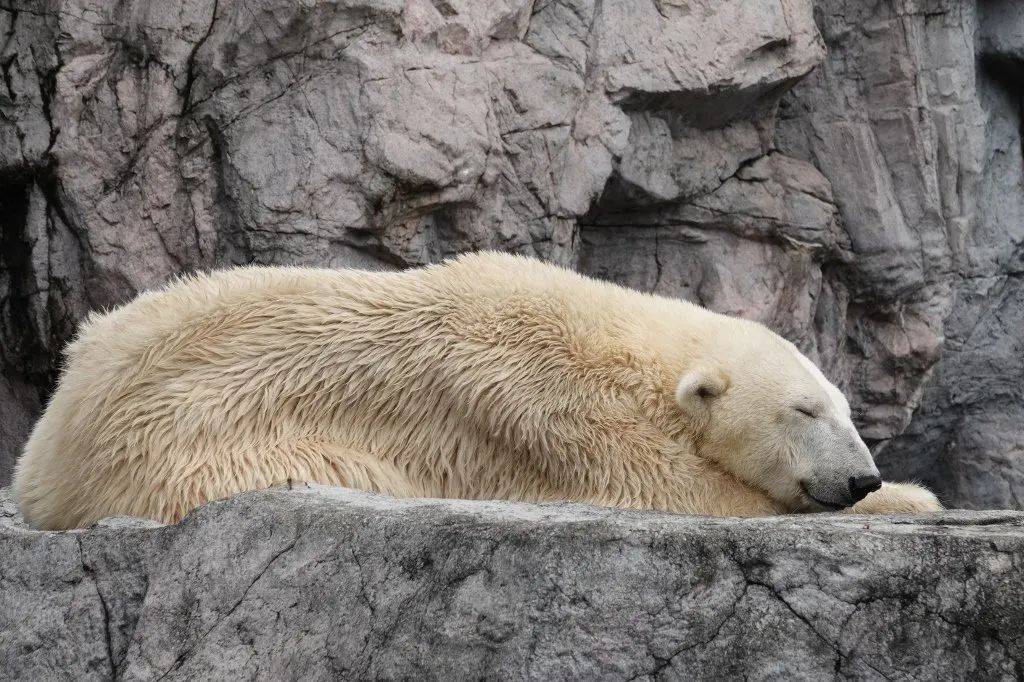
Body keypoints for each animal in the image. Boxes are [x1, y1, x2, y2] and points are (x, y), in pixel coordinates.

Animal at [13, 252, 941, 529]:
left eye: (844, 408)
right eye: (804, 408)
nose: (859, 474)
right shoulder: (541, 401)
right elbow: (672, 488)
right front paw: (916, 496)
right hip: (185, 452)